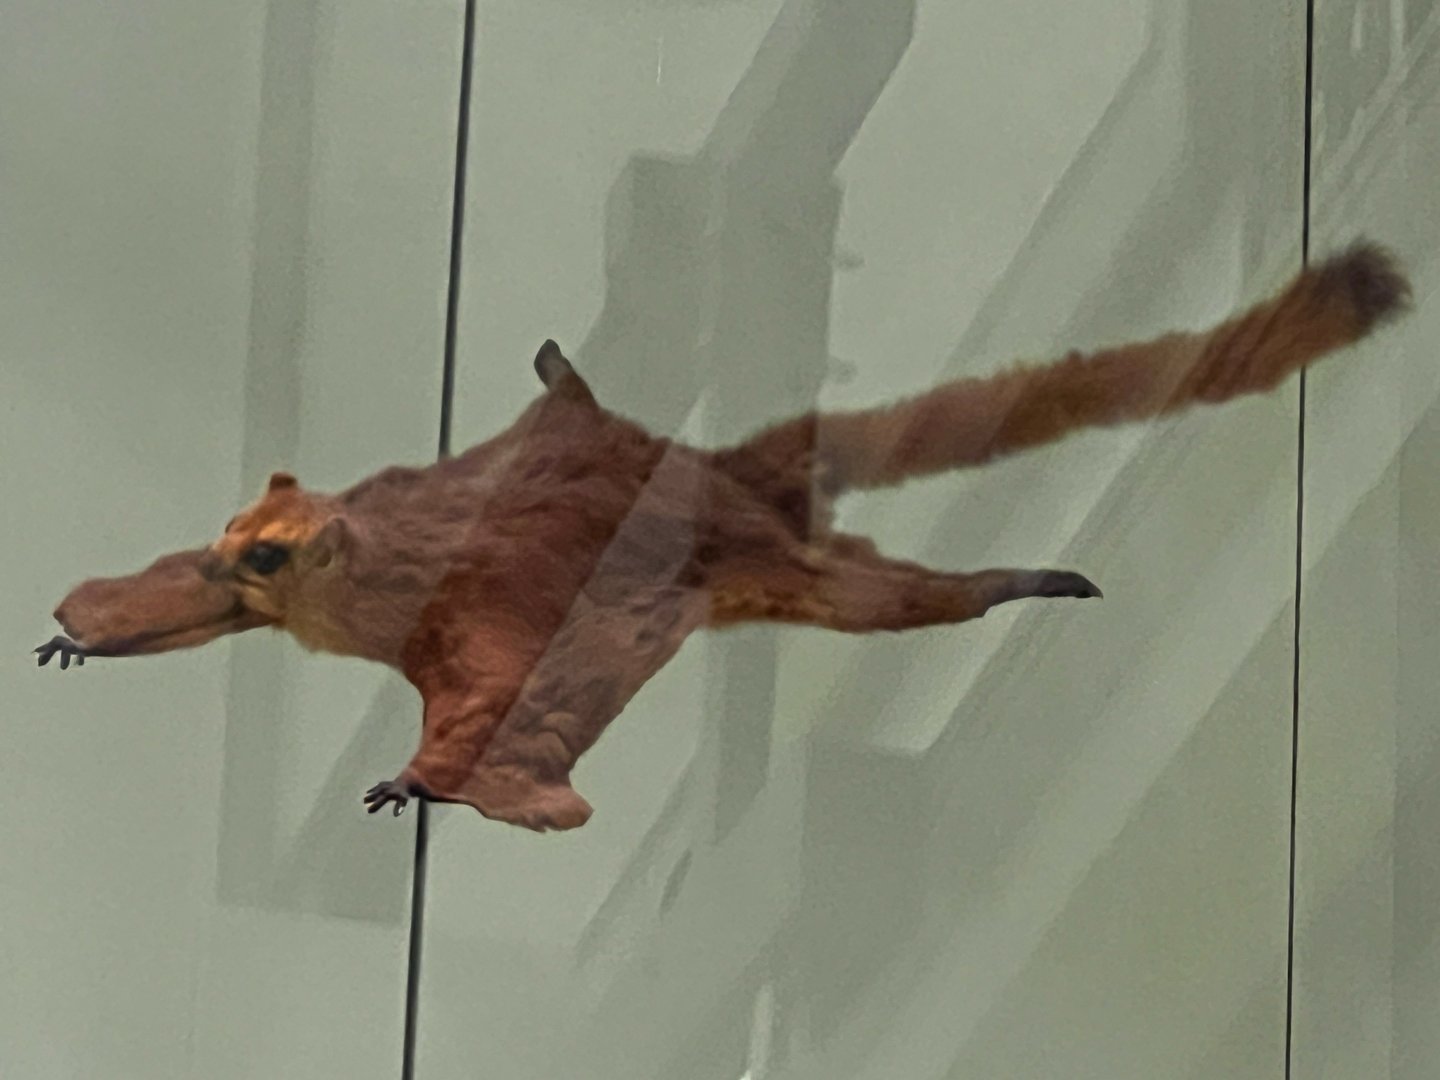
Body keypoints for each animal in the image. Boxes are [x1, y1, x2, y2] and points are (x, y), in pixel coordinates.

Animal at [37, 241, 1410, 833]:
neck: (364, 570)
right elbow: (169, 607)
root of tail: (721, 479)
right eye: (238, 538)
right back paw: (564, 372)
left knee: (884, 597)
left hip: (760, 563)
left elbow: (493, 706)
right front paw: (86, 634)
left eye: (271, 549)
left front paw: (425, 780)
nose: (232, 558)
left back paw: (1008, 581)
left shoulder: (476, 613)